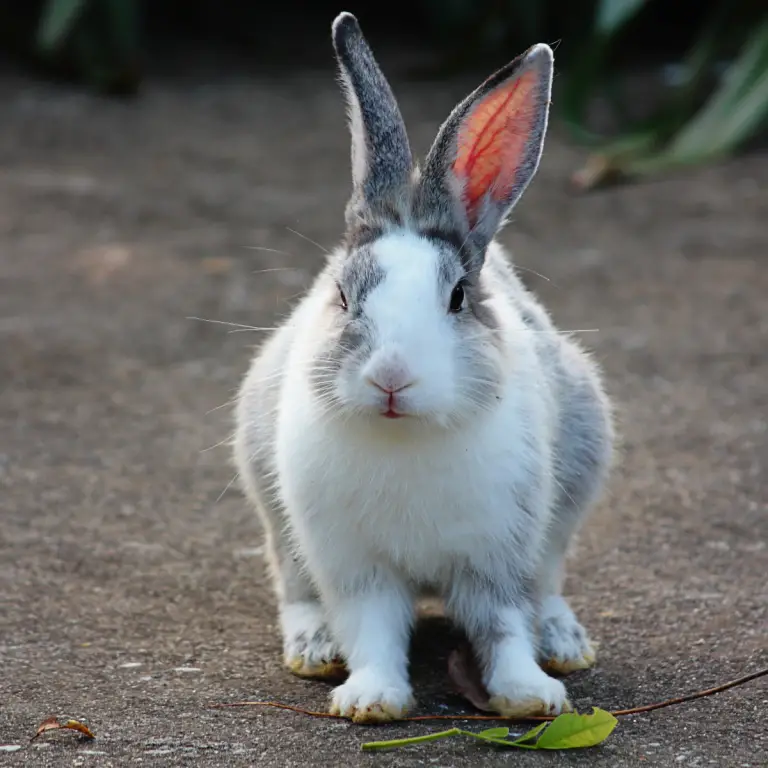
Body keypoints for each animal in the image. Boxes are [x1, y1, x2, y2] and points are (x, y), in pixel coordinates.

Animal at [231, 9, 616, 724]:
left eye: (458, 297)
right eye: (342, 295)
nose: (391, 377)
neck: (403, 436)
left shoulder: (499, 554)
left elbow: (503, 626)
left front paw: (531, 696)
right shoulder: (355, 566)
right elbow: (374, 630)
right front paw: (371, 699)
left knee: (545, 589)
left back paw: (565, 643)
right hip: (276, 514)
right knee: (296, 590)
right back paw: (313, 647)